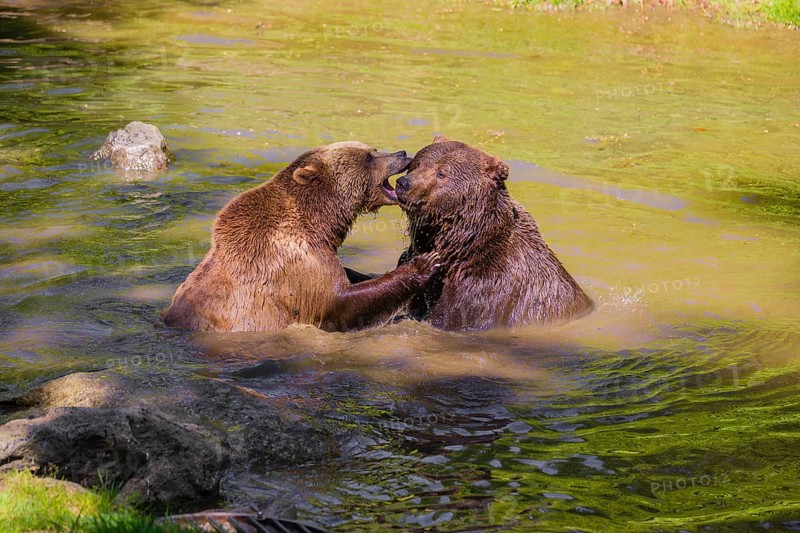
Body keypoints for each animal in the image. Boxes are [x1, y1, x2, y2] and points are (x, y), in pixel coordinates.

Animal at [163, 141, 438, 333]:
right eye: (369, 157)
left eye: (374, 149)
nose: (402, 153)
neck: (318, 222)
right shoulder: (295, 262)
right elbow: (339, 303)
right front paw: (423, 263)